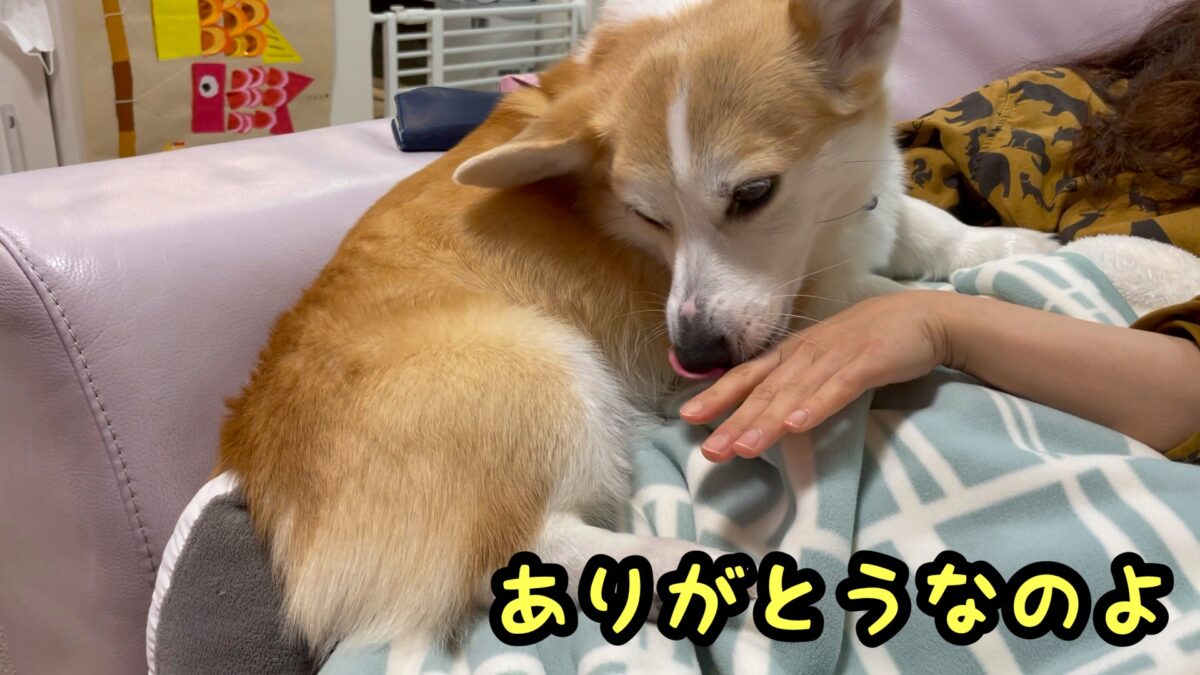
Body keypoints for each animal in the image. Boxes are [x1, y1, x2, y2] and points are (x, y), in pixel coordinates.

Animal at [216, 0, 1057, 659]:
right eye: (645, 215)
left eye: (754, 193)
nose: (695, 356)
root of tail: (264, 479)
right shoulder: (813, 298)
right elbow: (882, 295)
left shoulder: (859, 222)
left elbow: (928, 227)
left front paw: (1010, 246)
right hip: (546, 364)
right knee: (517, 552)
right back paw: (677, 566)